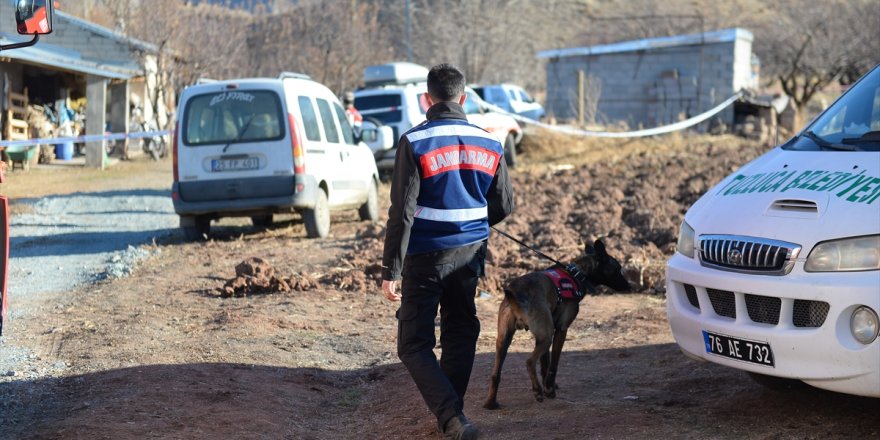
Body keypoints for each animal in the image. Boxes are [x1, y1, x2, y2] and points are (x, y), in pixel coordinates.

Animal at [484, 241, 628, 410]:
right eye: (618, 269)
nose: (628, 286)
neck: (577, 273)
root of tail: (515, 293)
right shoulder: (560, 330)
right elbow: (553, 364)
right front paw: (549, 390)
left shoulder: (544, 333)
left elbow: (545, 364)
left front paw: (548, 386)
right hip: (545, 338)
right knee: (529, 362)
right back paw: (537, 391)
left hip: (504, 341)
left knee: (495, 374)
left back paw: (491, 403)